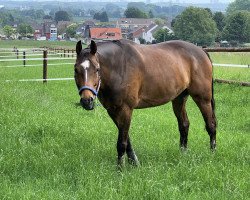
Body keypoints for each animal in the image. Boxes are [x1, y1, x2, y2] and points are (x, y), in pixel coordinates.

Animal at [74, 39, 217, 167]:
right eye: (76, 69)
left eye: (97, 69)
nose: (87, 100)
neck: (119, 66)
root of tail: (201, 51)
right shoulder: (113, 110)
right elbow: (127, 139)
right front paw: (134, 162)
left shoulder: (126, 109)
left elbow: (121, 143)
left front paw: (120, 169)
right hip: (179, 99)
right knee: (184, 125)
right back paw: (183, 153)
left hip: (203, 99)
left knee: (211, 125)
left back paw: (212, 153)